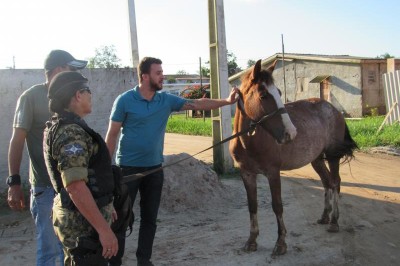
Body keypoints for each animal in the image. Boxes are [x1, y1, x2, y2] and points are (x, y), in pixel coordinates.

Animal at [230, 59, 358, 256]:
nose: (291, 133)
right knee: (327, 182)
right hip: (316, 159)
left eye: (279, 92)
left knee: (336, 182)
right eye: (263, 94)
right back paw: (325, 216)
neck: (249, 142)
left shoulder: (273, 173)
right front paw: (251, 241)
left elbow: (277, 205)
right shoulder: (247, 174)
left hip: (332, 156)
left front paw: (281, 243)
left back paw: (334, 221)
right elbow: (252, 206)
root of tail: (335, 110)